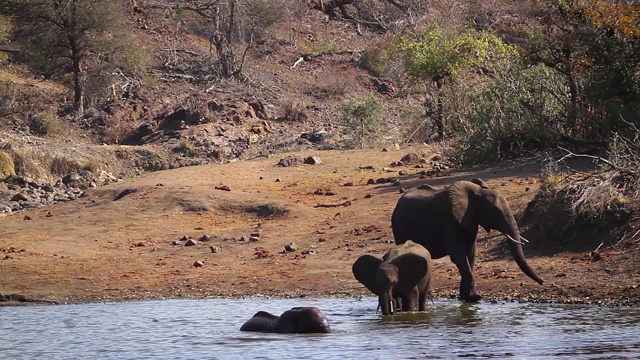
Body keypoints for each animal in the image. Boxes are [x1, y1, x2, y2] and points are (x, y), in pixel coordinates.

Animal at [392, 179, 544, 300]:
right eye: (496, 211)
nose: (542, 282)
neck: (477, 192)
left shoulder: (470, 221)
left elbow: (470, 255)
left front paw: (466, 298)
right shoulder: (450, 221)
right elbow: (459, 256)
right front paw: (475, 298)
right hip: (399, 229)